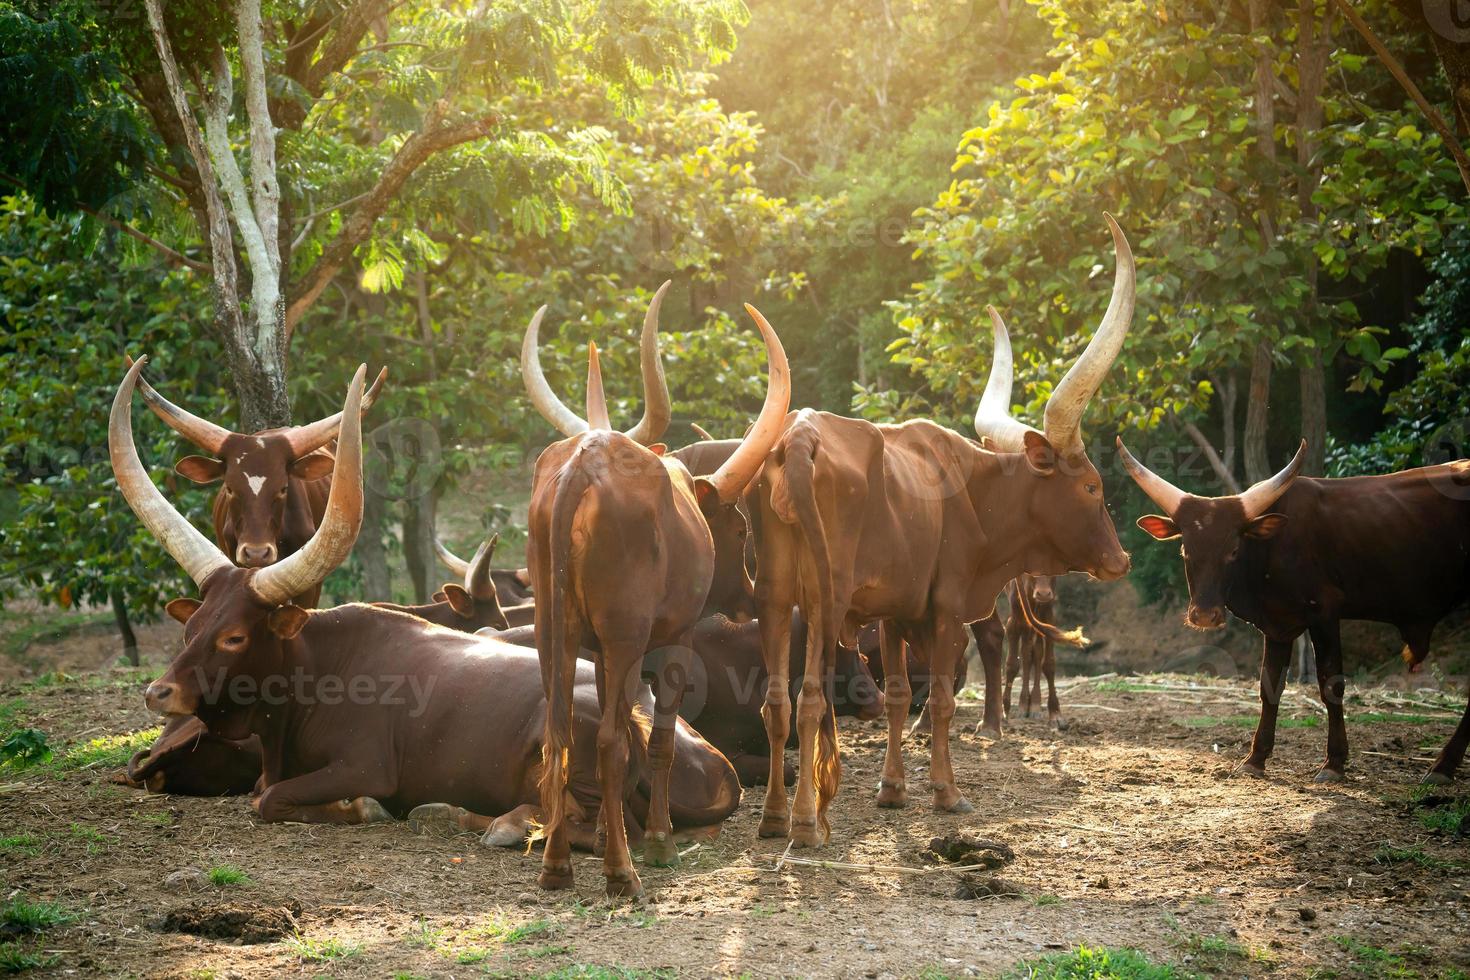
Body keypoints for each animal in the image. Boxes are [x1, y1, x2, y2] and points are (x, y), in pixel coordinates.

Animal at [111, 359, 746, 846]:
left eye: (235, 635)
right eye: (192, 626)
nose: (159, 692)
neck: (316, 672)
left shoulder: (363, 764)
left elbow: (268, 800)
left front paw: (360, 808)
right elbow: (265, 791)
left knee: (591, 822)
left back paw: (498, 824)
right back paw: (451, 811)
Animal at [520, 283, 787, 899]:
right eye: (739, 528)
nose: (748, 598)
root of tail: (582, 465)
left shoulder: (600, 650)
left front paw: (601, 834)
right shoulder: (672, 641)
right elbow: (660, 736)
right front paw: (661, 840)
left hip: (555, 635)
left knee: (561, 733)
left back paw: (557, 865)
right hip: (626, 636)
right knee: (610, 743)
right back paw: (623, 871)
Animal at [746, 218, 1134, 846]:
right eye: (1093, 487)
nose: (1121, 560)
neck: (973, 490)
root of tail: (798, 439)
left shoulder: (893, 612)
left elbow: (902, 696)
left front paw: (892, 790)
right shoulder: (948, 605)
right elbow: (947, 697)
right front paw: (947, 792)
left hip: (776, 598)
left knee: (777, 700)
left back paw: (775, 817)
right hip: (824, 600)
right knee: (810, 700)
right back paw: (805, 823)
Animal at [1117, 440, 1470, 787]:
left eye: (1233, 550)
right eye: (1185, 550)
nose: (1204, 615)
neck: (1271, 547)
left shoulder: (1324, 613)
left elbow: (1331, 685)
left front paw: (1334, 762)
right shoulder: (1277, 625)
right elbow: (1269, 686)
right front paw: (1255, 759)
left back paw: (1441, 767)